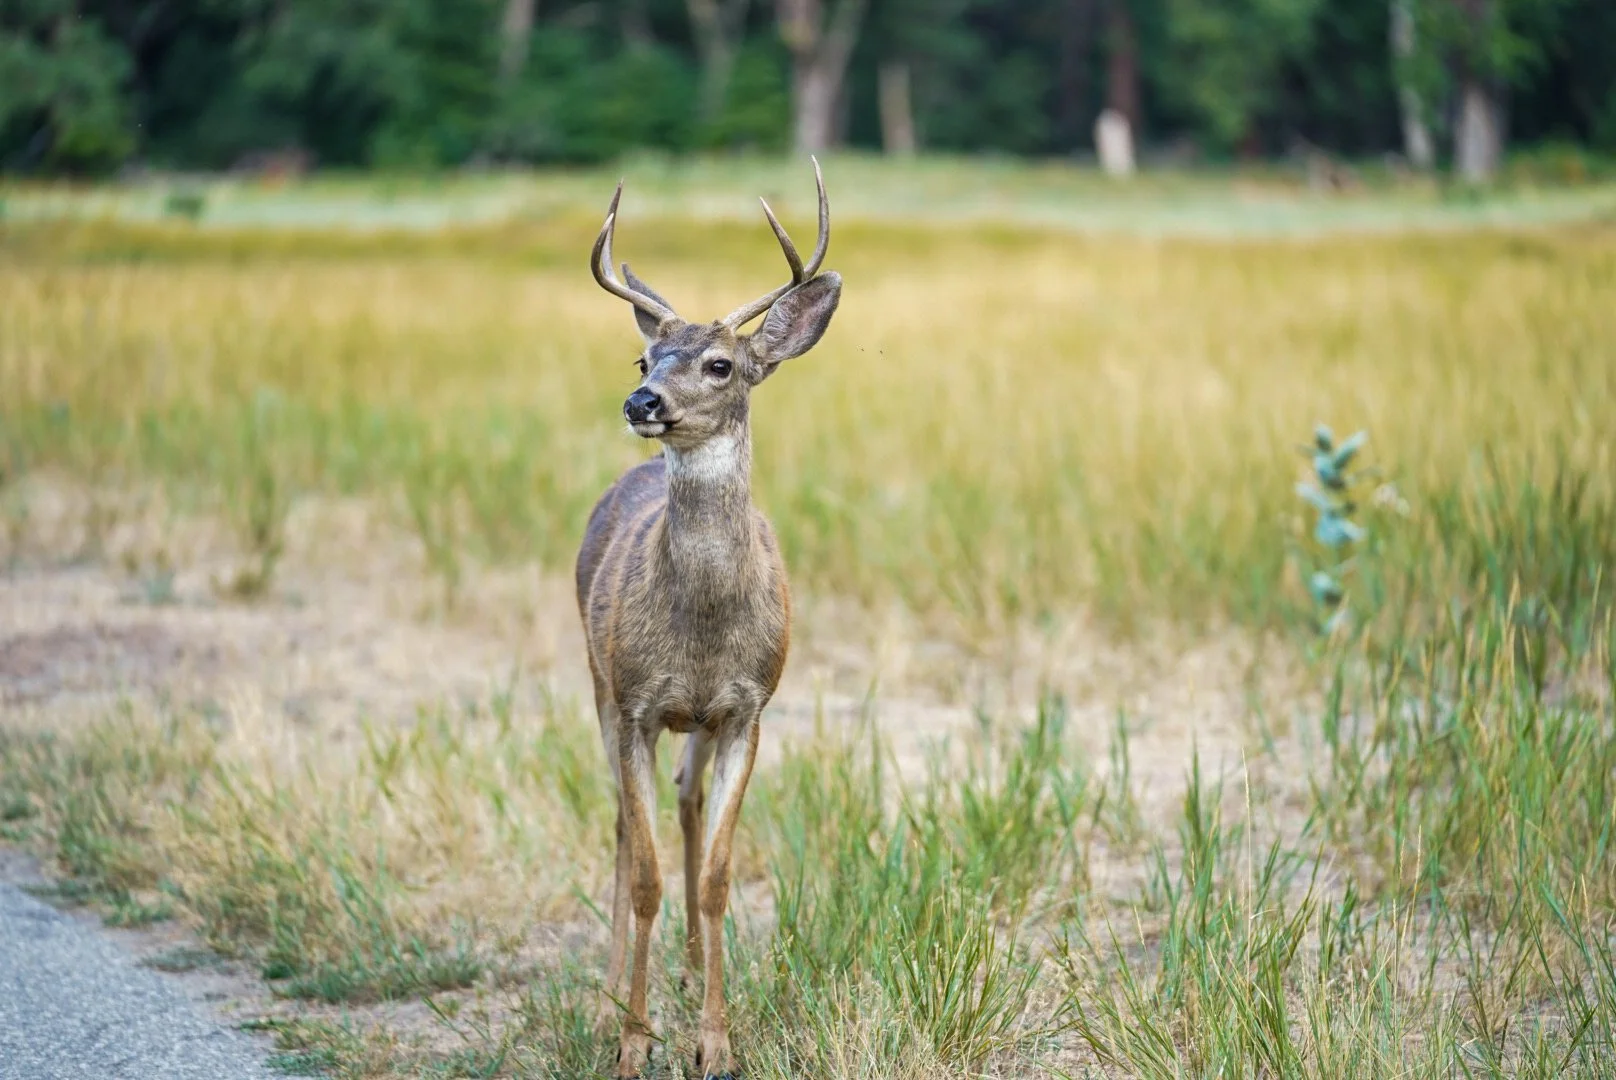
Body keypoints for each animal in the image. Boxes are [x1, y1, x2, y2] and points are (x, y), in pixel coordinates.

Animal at [575, 160, 840, 1080]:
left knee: (685, 805)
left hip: (686, 720)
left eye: (721, 363)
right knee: (625, 826)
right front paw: (633, 1041)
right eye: (644, 352)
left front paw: (717, 1043)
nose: (641, 399)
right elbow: (646, 872)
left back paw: (690, 971)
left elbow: (721, 872)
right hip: (598, 680)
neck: (699, 634)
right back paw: (610, 997)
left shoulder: (745, 708)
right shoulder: (635, 702)